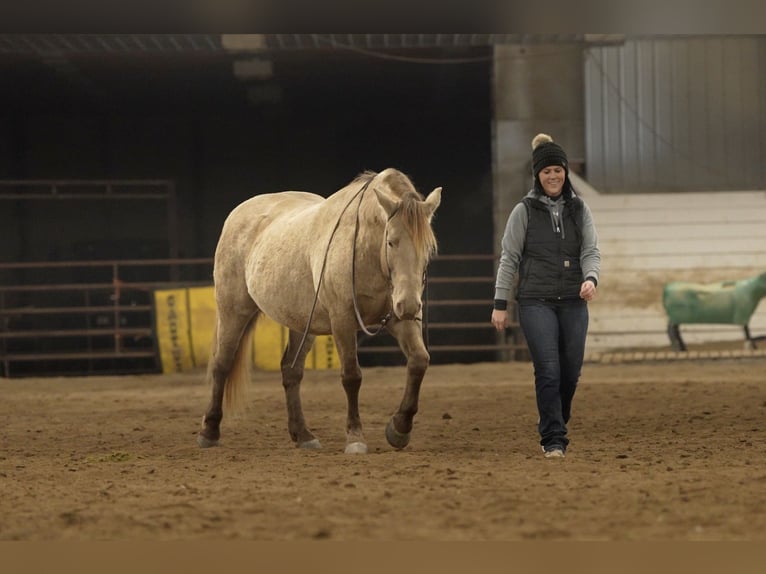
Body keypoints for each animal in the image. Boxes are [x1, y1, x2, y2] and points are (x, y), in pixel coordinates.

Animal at [197, 168, 442, 454]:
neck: (364, 247)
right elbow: (352, 376)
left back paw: (303, 434)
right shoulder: (343, 321)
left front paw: (399, 429)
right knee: (222, 364)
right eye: (391, 242)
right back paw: (209, 431)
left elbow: (419, 361)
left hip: (302, 323)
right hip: (233, 311)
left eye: (428, 248)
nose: (410, 305)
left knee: (291, 372)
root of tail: (237, 214)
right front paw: (355, 438)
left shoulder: (401, 321)